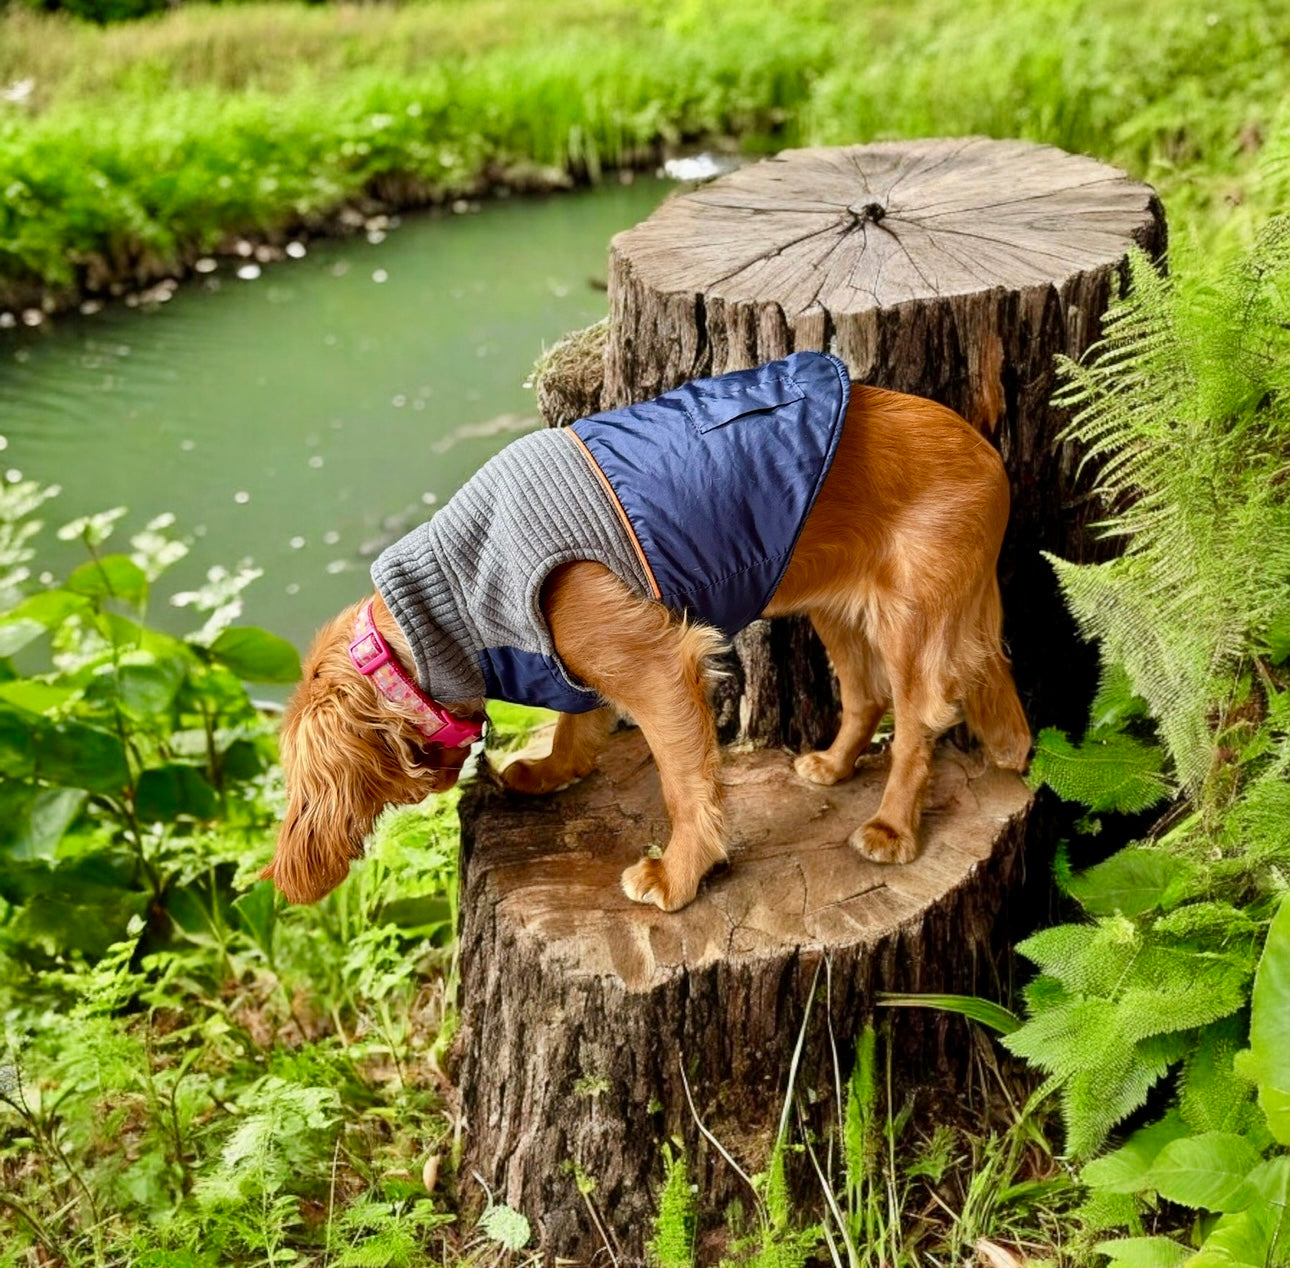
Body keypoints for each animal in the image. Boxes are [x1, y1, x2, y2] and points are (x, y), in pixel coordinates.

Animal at [267, 356, 1032, 913]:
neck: (448, 601)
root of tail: (988, 456)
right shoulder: (582, 663)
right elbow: (576, 722)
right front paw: (550, 771)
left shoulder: (660, 668)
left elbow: (685, 786)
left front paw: (680, 873)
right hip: (839, 609)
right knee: (874, 694)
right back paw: (838, 764)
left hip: (912, 624)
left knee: (917, 724)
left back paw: (892, 827)